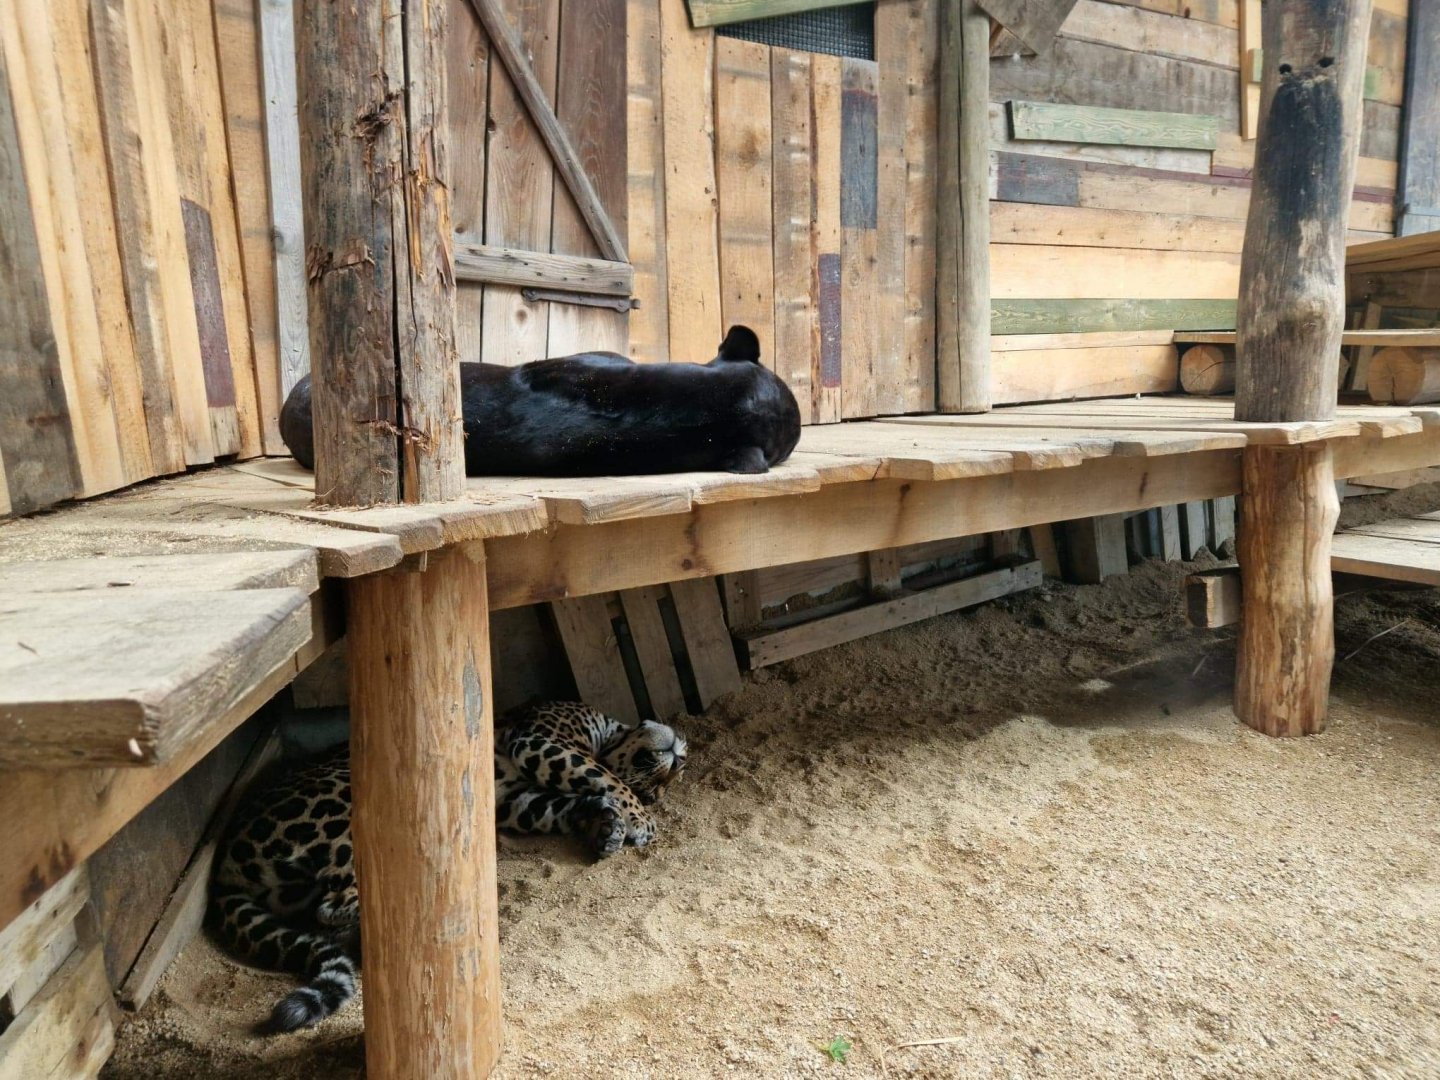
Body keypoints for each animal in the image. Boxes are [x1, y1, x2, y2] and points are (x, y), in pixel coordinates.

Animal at [209, 701, 687, 1032]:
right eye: (656, 782)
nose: (679, 761)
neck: (613, 731)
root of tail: (224, 866)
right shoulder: (541, 740)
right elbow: (606, 776)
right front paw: (638, 820)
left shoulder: (518, 798)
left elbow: (562, 803)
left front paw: (607, 823)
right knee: (337, 905)